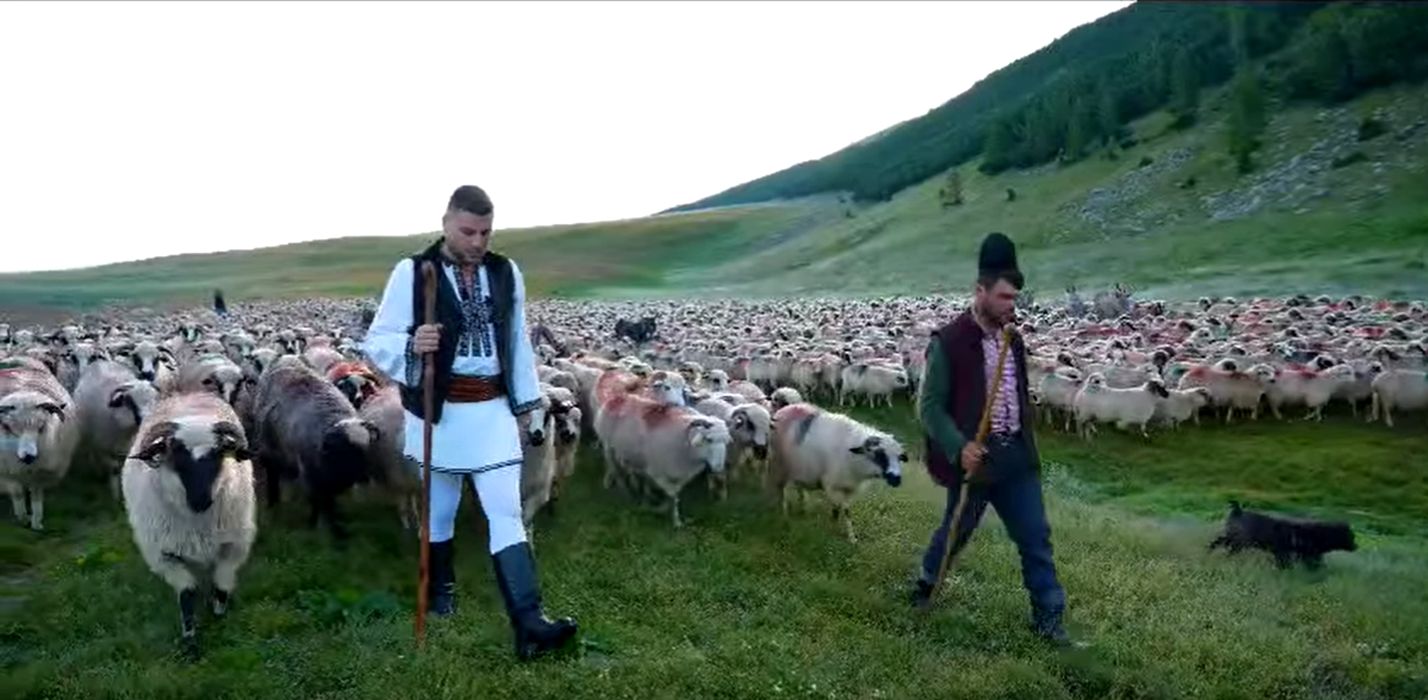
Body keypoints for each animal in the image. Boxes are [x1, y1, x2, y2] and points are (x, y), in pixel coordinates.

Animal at [0, 361, 79, 531]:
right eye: (8, 428)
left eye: (41, 427)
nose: (28, 456)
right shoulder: (6, 471)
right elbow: (17, 492)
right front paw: (22, 517)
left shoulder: (41, 471)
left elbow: (36, 495)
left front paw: (36, 522)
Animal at [73, 359, 161, 499]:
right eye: (130, 402)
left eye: (155, 399)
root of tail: (100, 362)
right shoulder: (104, 447)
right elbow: (113, 469)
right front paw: (115, 495)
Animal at [120, 392, 256, 656]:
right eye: (176, 456)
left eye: (218, 454)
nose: (200, 500)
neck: (196, 521)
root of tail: (186, 394)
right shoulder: (165, 556)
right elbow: (187, 594)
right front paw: (190, 640)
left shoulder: (234, 545)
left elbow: (222, 582)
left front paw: (218, 612)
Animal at [250, 361, 378, 540]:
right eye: (344, 449)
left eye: (367, 446)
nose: (363, 478)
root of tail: (285, 360)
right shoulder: (310, 474)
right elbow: (318, 501)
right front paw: (318, 525)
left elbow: (329, 500)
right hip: (269, 447)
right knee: (273, 475)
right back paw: (273, 504)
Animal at [766, 403, 905, 543]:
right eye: (879, 455)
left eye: (899, 457)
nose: (896, 479)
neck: (852, 458)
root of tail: (785, 408)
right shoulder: (833, 486)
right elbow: (842, 509)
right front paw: (836, 527)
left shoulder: (849, 488)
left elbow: (843, 510)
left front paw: (850, 536)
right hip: (779, 465)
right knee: (781, 490)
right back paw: (784, 514)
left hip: (799, 467)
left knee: (798, 487)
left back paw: (803, 506)